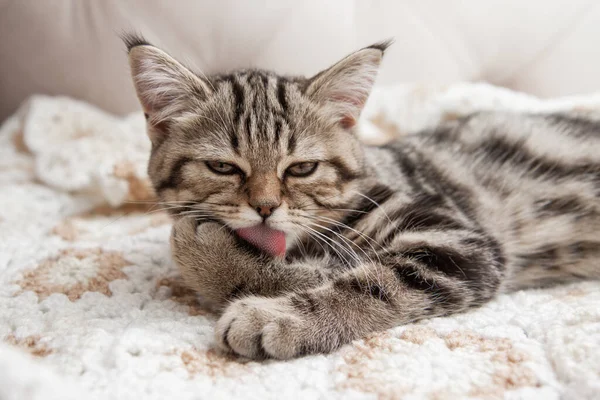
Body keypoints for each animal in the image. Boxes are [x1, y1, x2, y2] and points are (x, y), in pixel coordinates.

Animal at [123, 33, 600, 360]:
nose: (265, 207)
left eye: (302, 168)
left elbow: (372, 282)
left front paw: (274, 314)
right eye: (222, 168)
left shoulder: (461, 242)